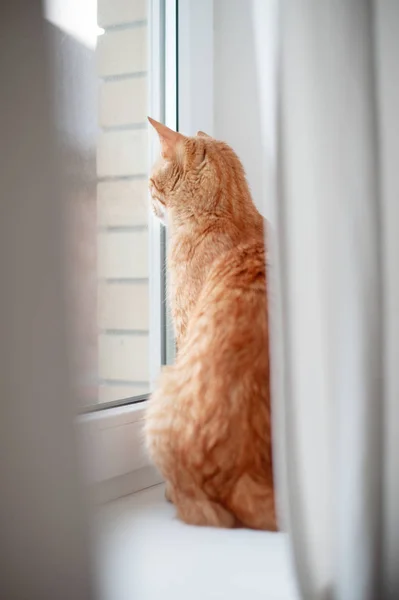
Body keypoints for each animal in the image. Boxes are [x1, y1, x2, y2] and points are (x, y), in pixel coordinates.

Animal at [145, 117, 278, 528]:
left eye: (151, 180)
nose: (144, 193)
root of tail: (241, 473)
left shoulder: (184, 326)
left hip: (162, 392)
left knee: (202, 510)